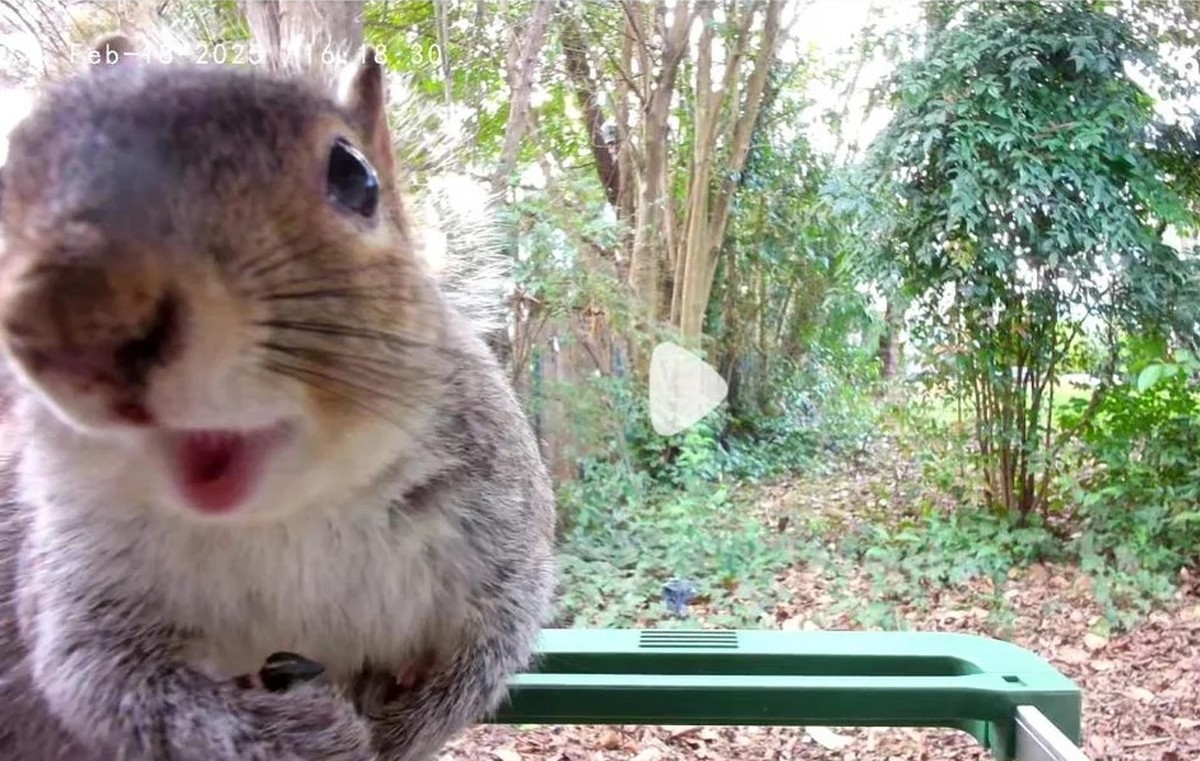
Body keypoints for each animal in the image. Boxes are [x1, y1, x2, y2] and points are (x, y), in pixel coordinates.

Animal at [0, 31, 557, 761]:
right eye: (11, 173)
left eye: (355, 177)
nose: (73, 320)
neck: (291, 509)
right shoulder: (77, 572)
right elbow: (110, 682)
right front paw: (309, 734)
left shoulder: (504, 525)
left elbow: (491, 646)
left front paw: (401, 728)